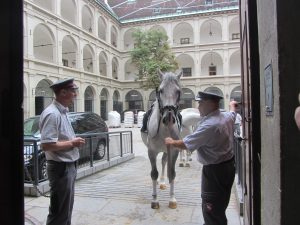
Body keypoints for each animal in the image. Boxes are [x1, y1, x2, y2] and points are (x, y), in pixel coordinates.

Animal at [141, 70, 182, 209]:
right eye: (160, 90)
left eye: (178, 91)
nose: (168, 118)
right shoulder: (151, 151)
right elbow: (154, 173)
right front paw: (155, 200)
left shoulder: (174, 150)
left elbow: (172, 173)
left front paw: (172, 199)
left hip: (166, 150)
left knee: (164, 162)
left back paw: (163, 182)